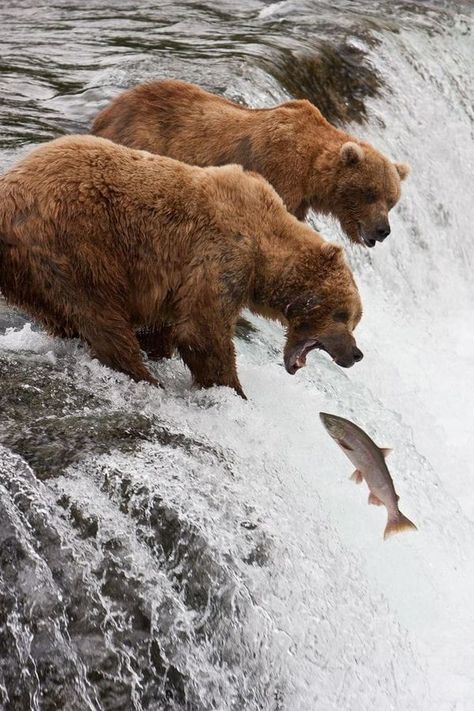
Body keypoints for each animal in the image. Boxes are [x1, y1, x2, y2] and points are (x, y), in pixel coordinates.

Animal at [0, 136, 364, 398]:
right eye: (342, 314)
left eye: (354, 319)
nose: (356, 353)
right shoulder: (222, 254)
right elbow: (203, 329)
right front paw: (233, 392)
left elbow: (167, 327)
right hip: (74, 241)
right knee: (99, 311)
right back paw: (145, 377)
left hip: (29, 274)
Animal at [90, 78, 410, 248]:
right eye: (370, 193)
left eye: (392, 201)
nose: (383, 230)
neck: (310, 170)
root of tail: (107, 112)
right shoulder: (279, 171)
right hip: (143, 140)